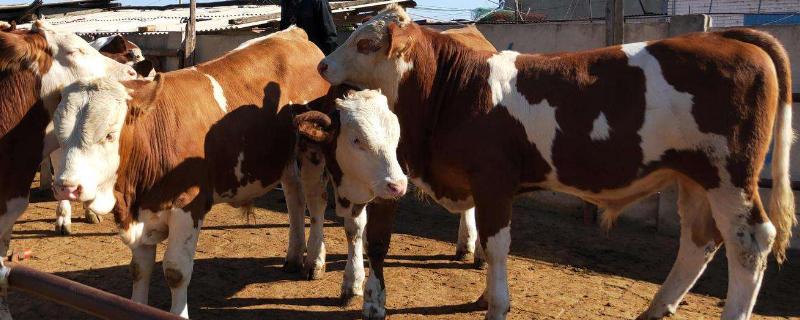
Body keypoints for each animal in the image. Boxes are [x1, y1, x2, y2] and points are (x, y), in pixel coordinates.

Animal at [51, 27, 406, 318]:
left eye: (109, 134)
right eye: (59, 134)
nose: (67, 186)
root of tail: (293, 34)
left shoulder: (187, 205)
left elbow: (176, 272)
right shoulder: (142, 211)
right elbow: (139, 269)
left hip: (313, 153)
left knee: (319, 206)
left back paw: (320, 265)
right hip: (284, 158)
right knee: (294, 200)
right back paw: (294, 255)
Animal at [318, 5, 792, 320]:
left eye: (365, 43)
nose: (323, 65)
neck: (454, 91)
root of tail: (727, 36)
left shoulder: (493, 181)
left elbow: (497, 245)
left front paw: (496, 305)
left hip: (728, 176)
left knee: (750, 244)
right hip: (693, 176)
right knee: (698, 242)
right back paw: (656, 308)